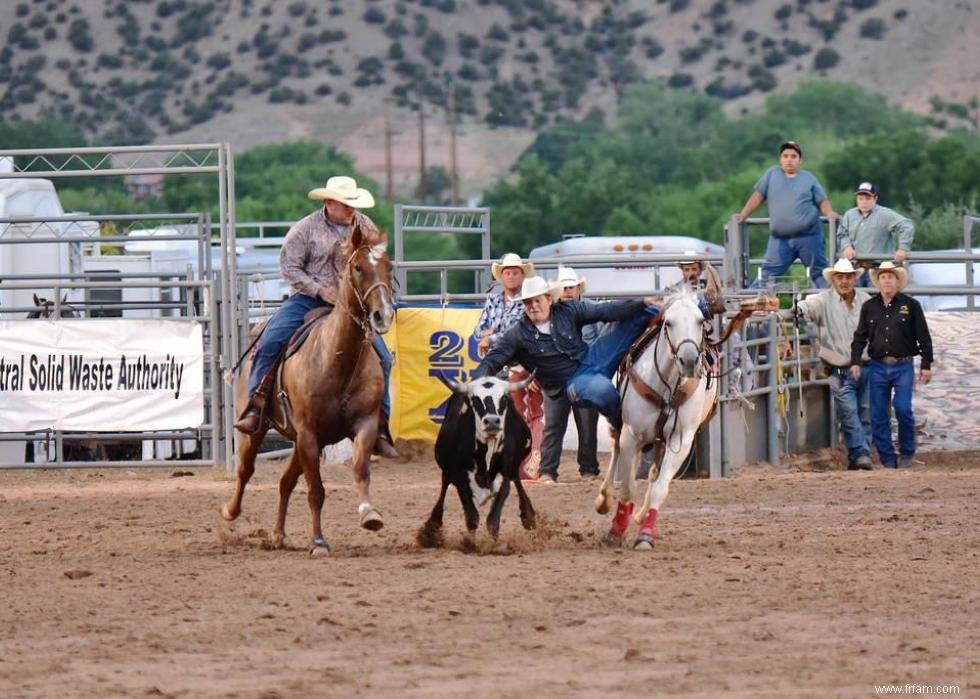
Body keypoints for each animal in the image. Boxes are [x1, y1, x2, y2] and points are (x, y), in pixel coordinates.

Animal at [221, 221, 394, 556]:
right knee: (245, 470)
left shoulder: (365, 424)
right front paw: (318, 542)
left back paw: (278, 534)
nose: (384, 315)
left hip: (301, 441)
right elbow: (316, 490)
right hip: (260, 432)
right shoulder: (309, 432)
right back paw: (230, 511)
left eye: (388, 266)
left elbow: (360, 469)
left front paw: (370, 514)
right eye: (357, 267)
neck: (336, 359)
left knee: (285, 481)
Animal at [588, 284, 720, 552]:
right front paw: (615, 531)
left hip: (661, 442)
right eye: (668, 322)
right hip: (622, 429)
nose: (689, 361)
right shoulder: (631, 435)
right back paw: (604, 500)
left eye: (700, 321)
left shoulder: (681, 439)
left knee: (653, 473)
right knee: (616, 455)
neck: (667, 384)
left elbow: (660, 487)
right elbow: (627, 488)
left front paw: (646, 534)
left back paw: (641, 515)